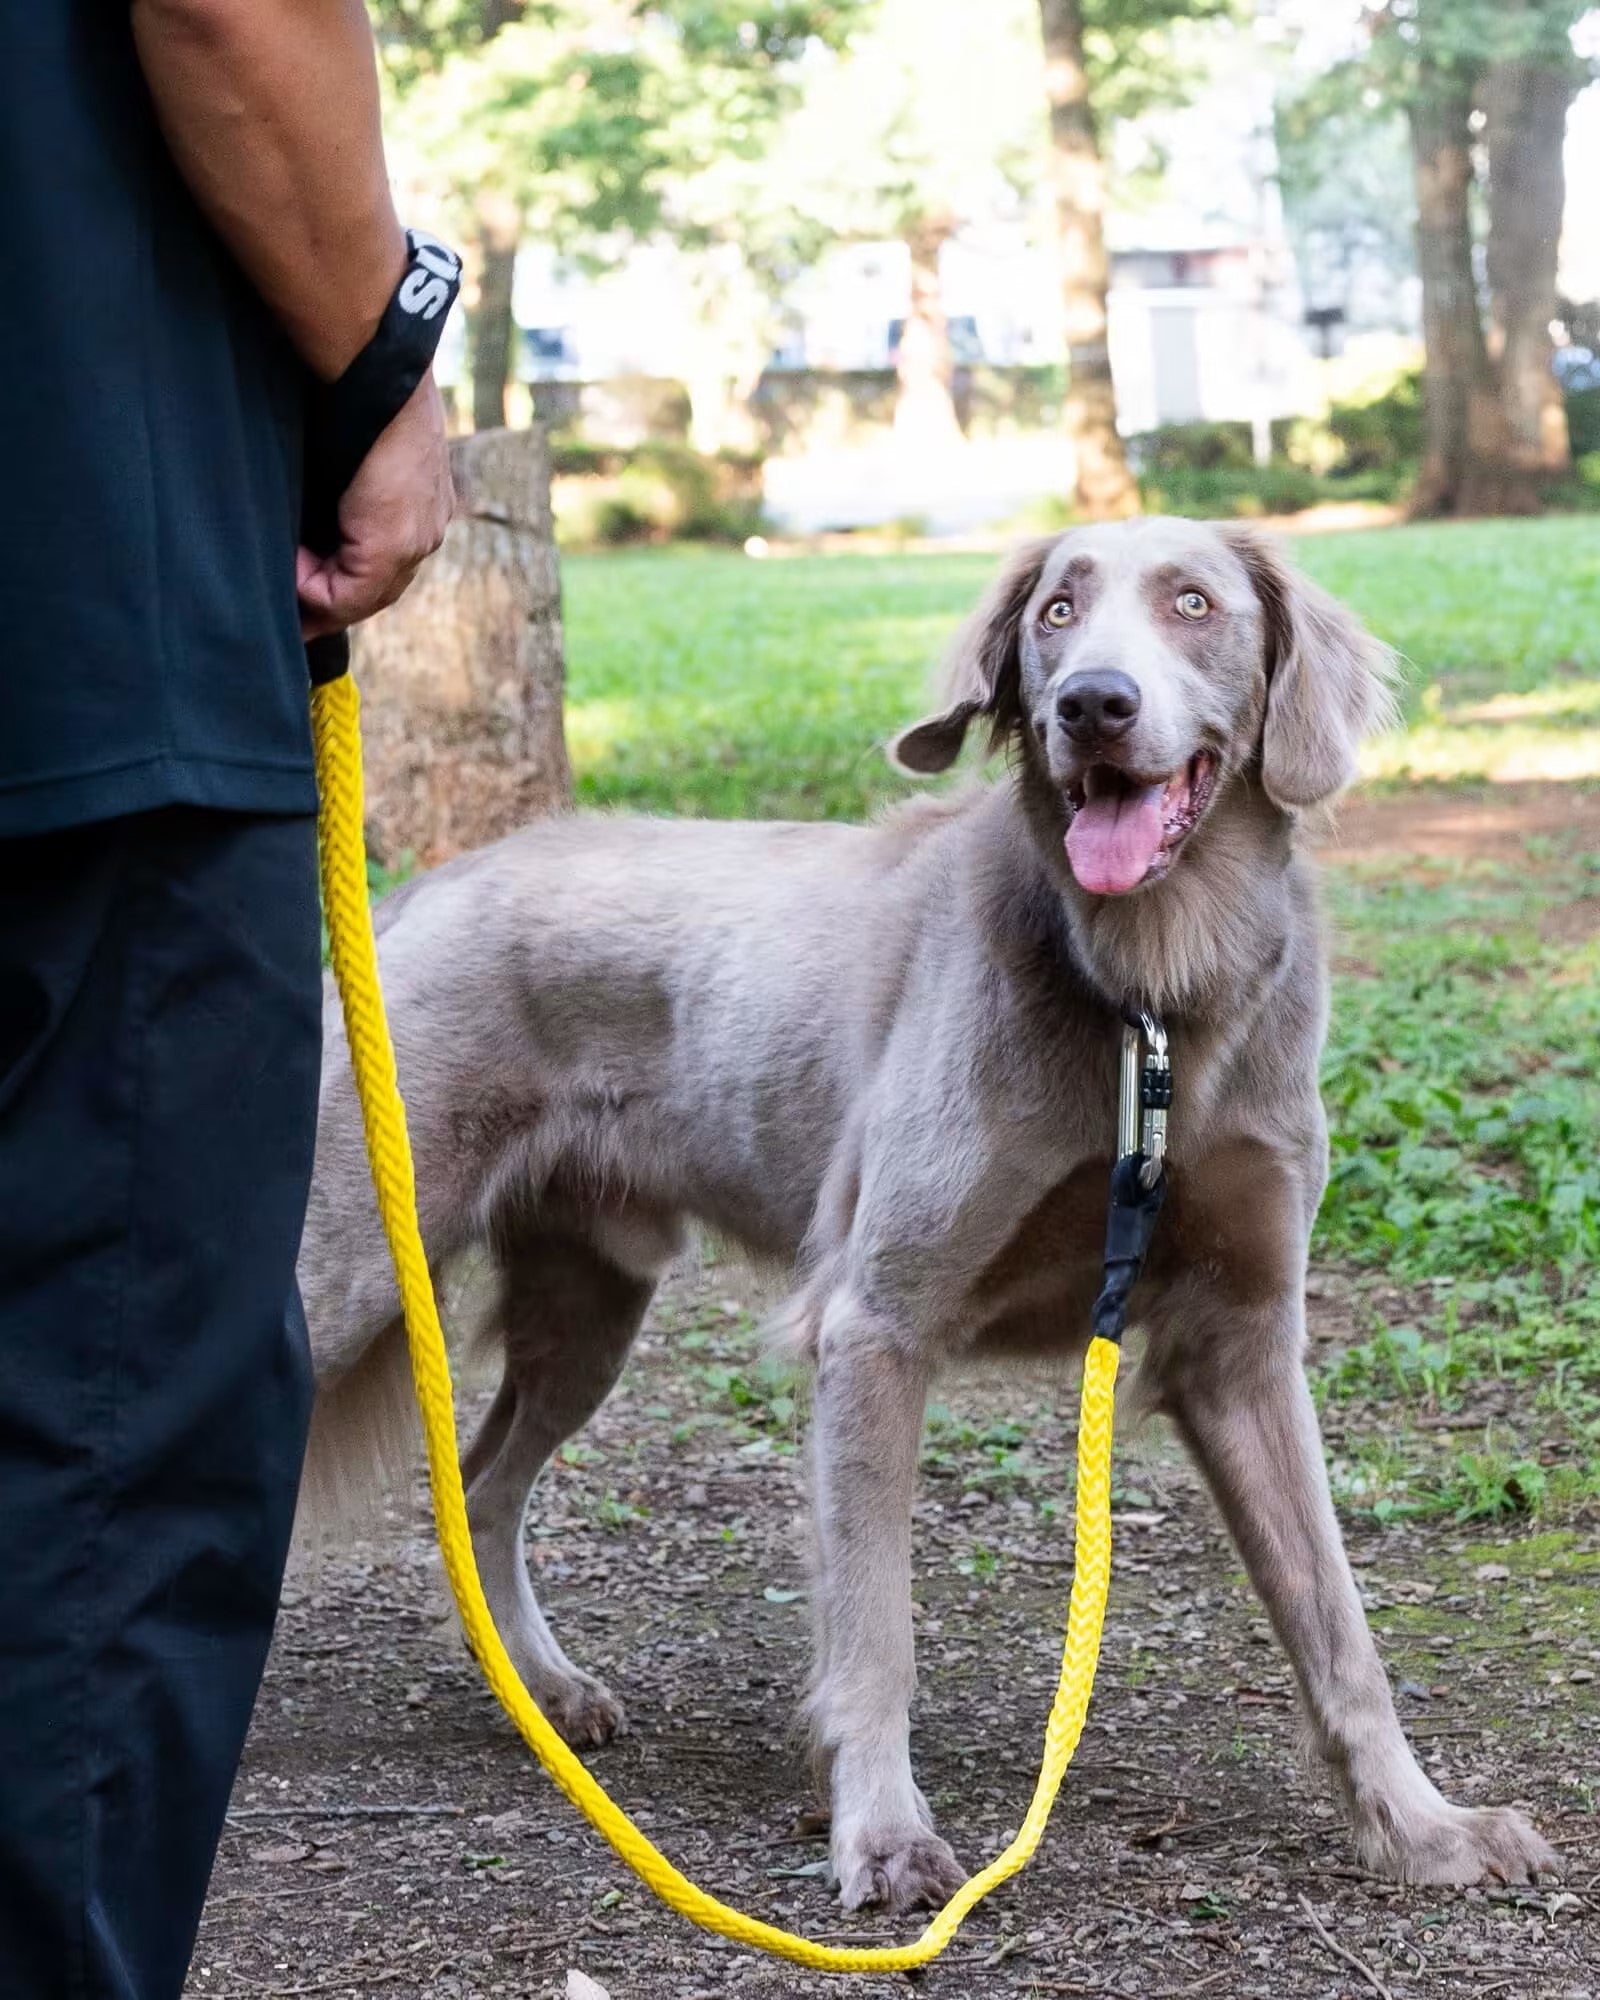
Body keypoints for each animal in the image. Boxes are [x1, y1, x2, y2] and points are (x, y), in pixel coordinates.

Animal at [300, 524, 1552, 1912]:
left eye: (1193, 603)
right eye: (1056, 611)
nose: (1093, 705)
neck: (1152, 1001)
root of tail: (417, 893)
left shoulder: (1240, 1341)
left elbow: (1338, 1623)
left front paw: (1421, 1826)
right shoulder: (875, 1326)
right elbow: (874, 1630)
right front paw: (884, 1833)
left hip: (589, 1301)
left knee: (479, 1486)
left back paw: (545, 1691)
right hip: (342, 1271)